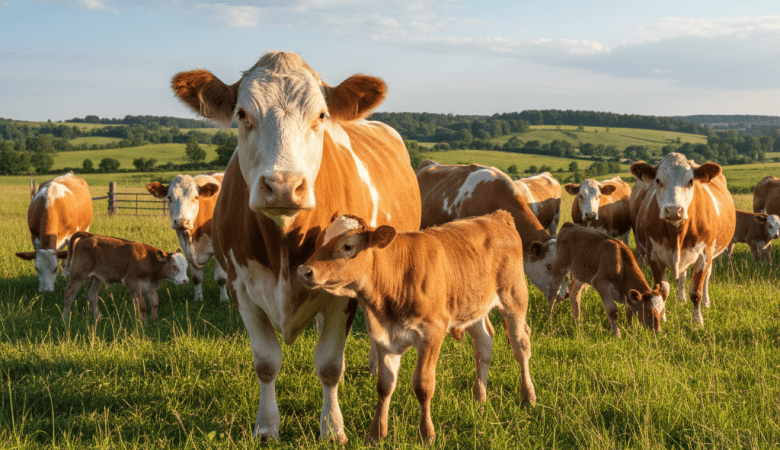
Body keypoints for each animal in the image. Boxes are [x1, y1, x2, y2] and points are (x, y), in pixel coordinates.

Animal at [61, 232, 189, 322]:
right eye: (174, 267)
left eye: (186, 266)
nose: (186, 281)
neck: (150, 260)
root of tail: (88, 235)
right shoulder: (132, 282)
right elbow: (142, 304)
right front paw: (144, 323)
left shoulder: (149, 286)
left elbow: (154, 302)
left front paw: (154, 319)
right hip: (78, 275)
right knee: (69, 294)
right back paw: (64, 319)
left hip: (96, 277)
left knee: (91, 294)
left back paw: (98, 317)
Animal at [146, 173, 229, 302]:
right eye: (169, 197)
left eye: (196, 197)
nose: (181, 221)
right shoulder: (187, 249)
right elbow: (196, 278)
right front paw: (198, 298)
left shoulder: (220, 248)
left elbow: (221, 278)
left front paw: (224, 299)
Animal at [169, 51, 422, 443]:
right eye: (242, 114)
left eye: (320, 116)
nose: (284, 186)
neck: (284, 244)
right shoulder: (241, 287)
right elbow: (266, 363)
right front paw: (266, 427)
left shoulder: (343, 295)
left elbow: (330, 365)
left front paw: (332, 427)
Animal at [297, 211, 536, 443]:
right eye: (318, 243)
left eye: (347, 246)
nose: (303, 271)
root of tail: (495, 216)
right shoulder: (383, 337)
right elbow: (384, 385)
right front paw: (376, 433)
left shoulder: (432, 334)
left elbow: (423, 385)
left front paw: (427, 434)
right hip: (473, 306)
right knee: (484, 345)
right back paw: (480, 398)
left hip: (514, 297)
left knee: (521, 346)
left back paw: (528, 397)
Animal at [630, 153, 736, 325]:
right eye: (658, 180)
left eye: (691, 181)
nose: (674, 210)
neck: (677, 233)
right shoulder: (653, 255)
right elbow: (662, 289)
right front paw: (662, 317)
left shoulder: (704, 255)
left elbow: (696, 290)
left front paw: (697, 320)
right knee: (682, 276)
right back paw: (681, 299)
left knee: (706, 278)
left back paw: (706, 303)